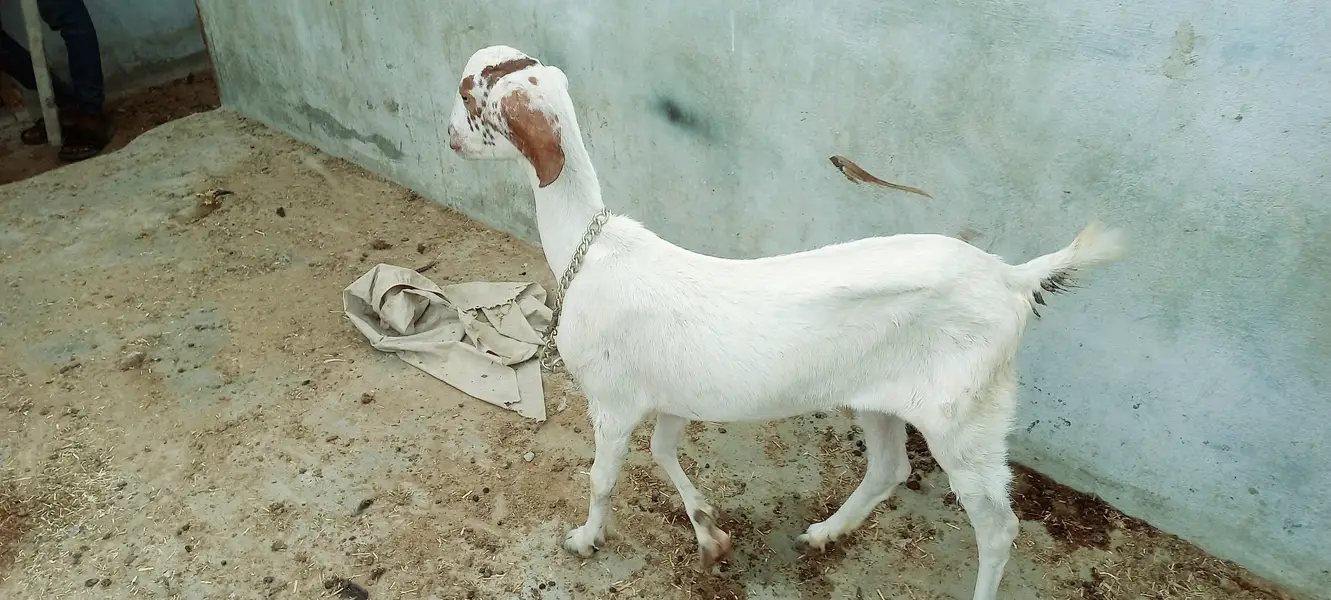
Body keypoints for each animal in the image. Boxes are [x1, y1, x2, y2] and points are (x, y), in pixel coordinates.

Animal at [445, 45, 1125, 600]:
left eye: (468, 96)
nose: (447, 137)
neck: (592, 251)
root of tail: (1013, 279)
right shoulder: (673, 394)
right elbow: (664, 450)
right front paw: (708, 532)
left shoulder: (612, 401)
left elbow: (602, 480)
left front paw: (585, 540)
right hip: (879, 399)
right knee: (890, 469)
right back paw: (823, 533)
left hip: (966, 418)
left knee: (998, 525)